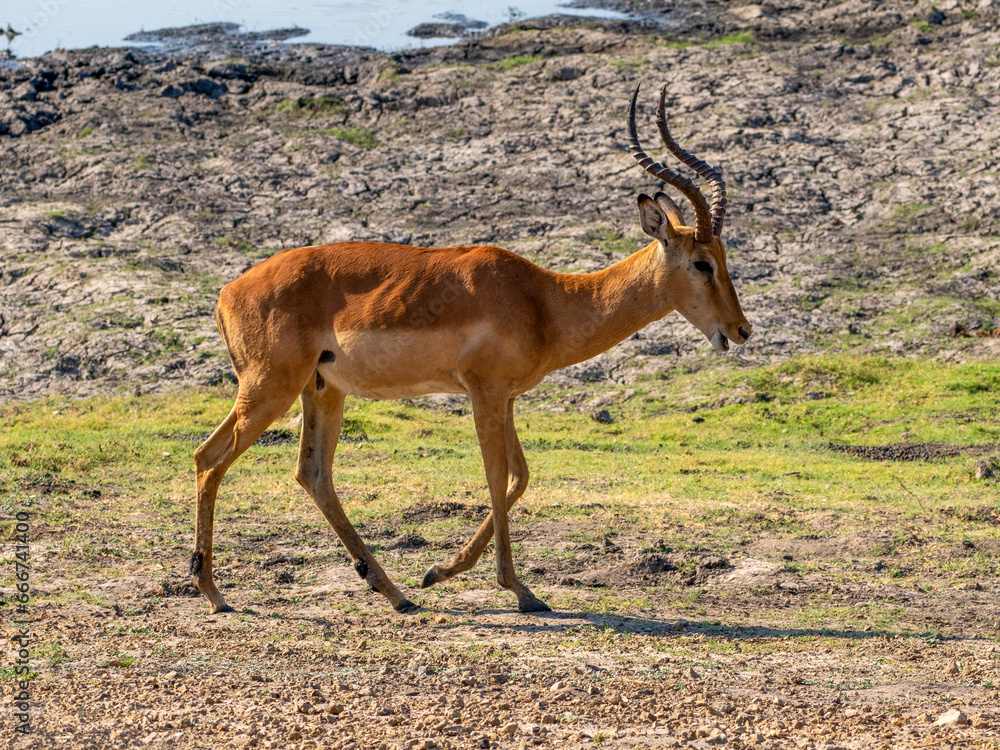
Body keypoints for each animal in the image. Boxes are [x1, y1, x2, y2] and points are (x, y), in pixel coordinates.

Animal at [190, 83, 750, 615]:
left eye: (723, 255)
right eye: (701, 262)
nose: (741, 330)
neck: (544, 300)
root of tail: (227, 292)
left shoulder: (507, 397)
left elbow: (520, 477)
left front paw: (439, 572)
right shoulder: (484, 392)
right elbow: (497, 476)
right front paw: (520, 590)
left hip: (321, 391)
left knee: (310, 474)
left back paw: (396, 593)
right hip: (270, 388)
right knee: (210, 459)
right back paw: (215, 594)